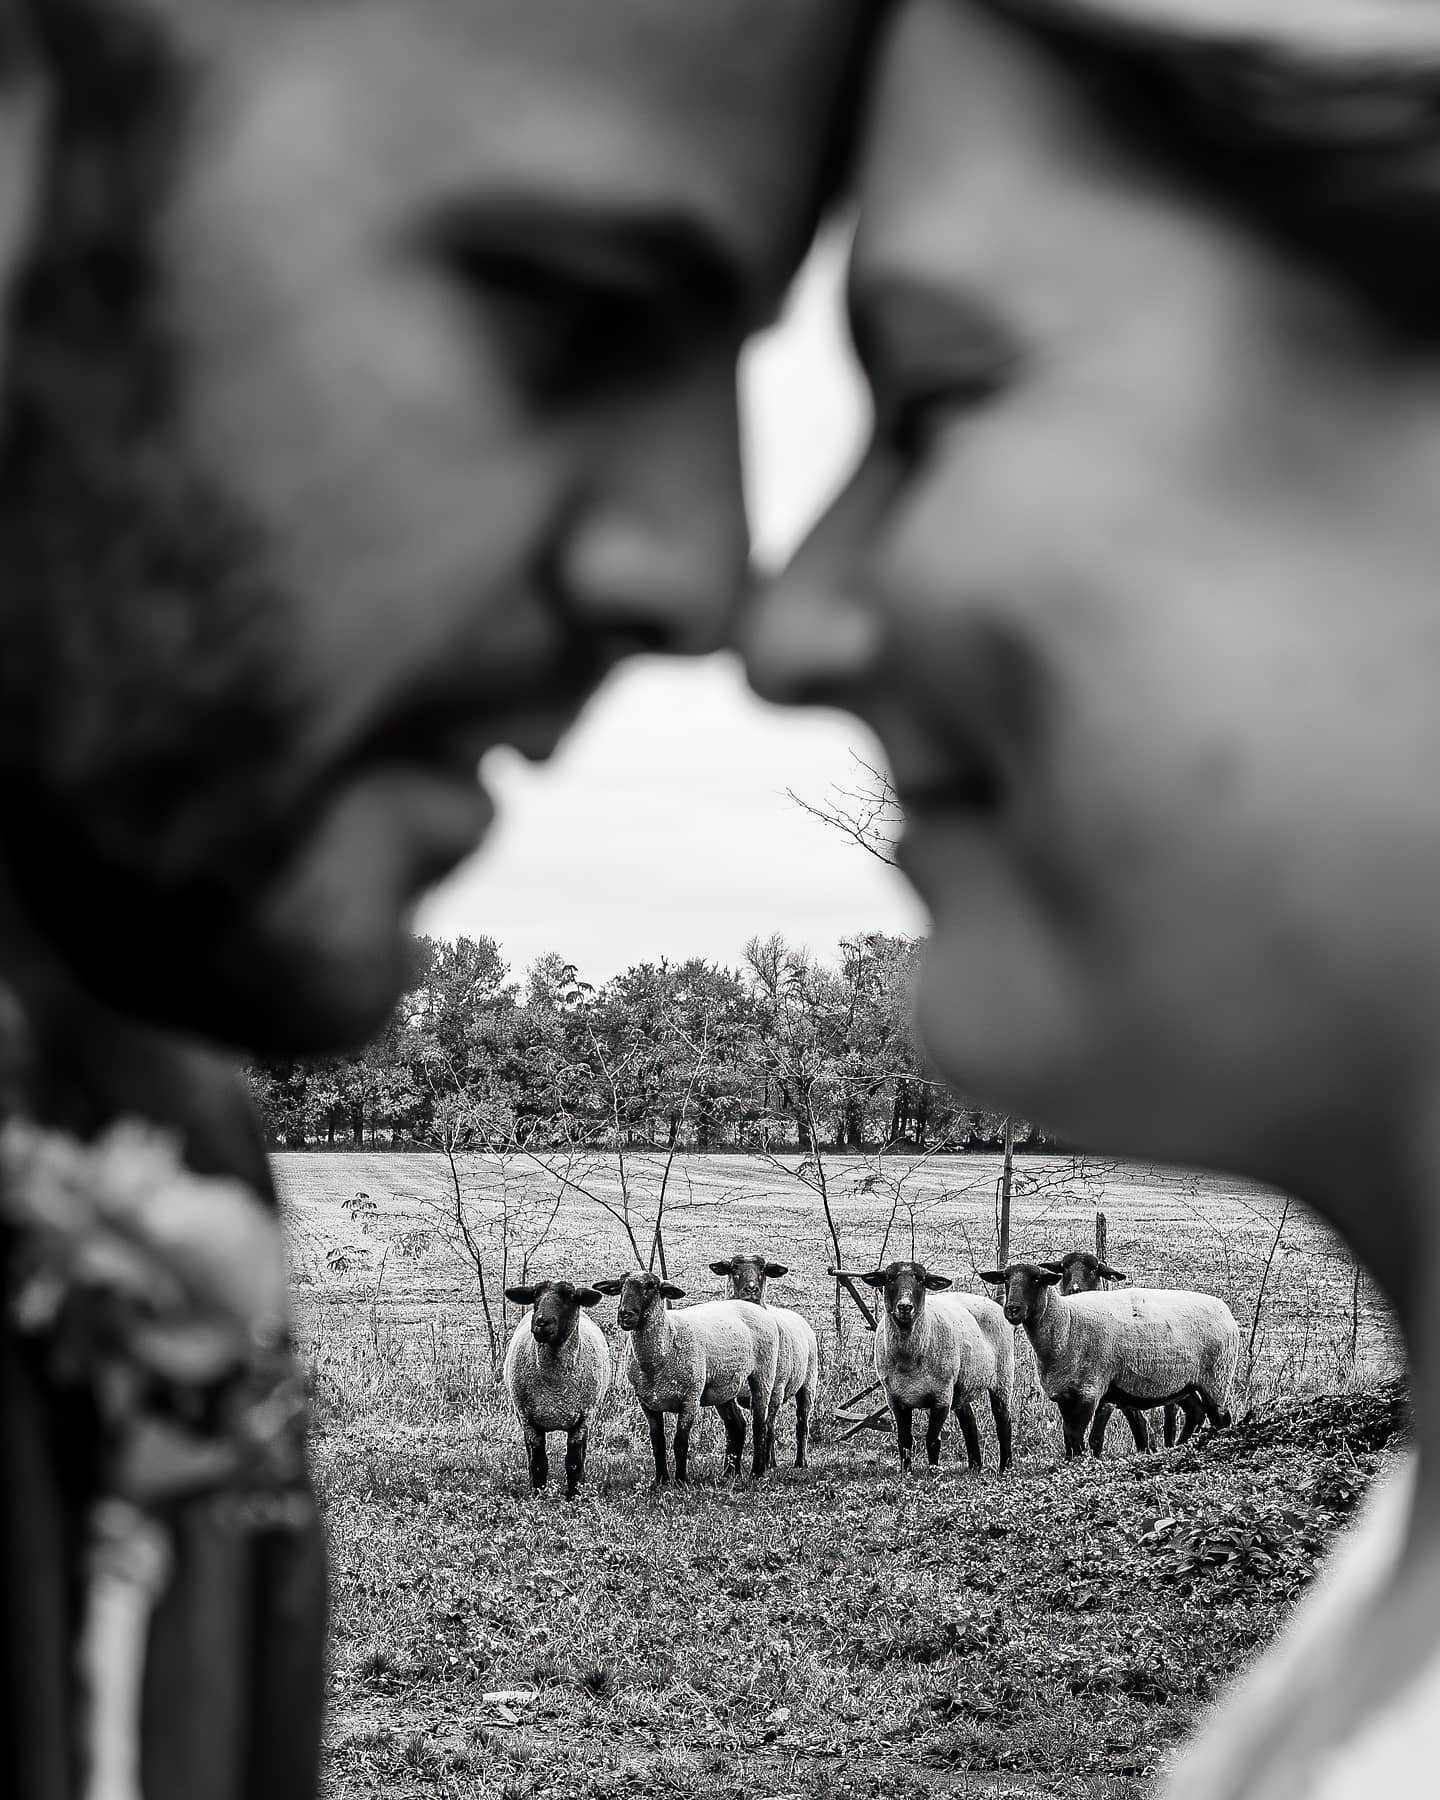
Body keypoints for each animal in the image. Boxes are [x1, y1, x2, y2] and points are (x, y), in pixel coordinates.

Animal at [504, 1288, 612, 1497]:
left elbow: (574, 1462)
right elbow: (538, 1463)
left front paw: (574, 1495)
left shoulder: (583, 1418)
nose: (541, 1322)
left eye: (570, 1297)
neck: (555, 1386)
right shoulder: (528, 1418)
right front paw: (538, 1494)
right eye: (535, 1296)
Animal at [594, 1267, 781, 1476]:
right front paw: (661, 1479)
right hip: (723, 1386)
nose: (625, 1315)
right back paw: (730, 1473)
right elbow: (657, 1443)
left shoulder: (690, 1398)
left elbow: (680, 1443)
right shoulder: (647, 1402)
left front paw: (681, 1479)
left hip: (763, 1374)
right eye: (620, 1286)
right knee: (737, 1425)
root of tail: (752, 1305)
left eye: (651, 1286)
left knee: (760, 1426)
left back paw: (757, 1472)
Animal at [705, 1260, 817, 1468]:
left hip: (808, 1384)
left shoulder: (776, 1388)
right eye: (733, 1268)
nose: (751, 1289)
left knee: (801, 1423)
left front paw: (766, 1463)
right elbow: (733, 1427)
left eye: (763, 1269)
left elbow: (767, 1426)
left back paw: (799, 1461)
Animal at [856, 1260, 1015, 1468]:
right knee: (969, 1422)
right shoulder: (895, 1400)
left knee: (1003, 1421)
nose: (905, 1307)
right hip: (961, 1386)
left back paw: (1005, 1467)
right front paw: (906, 1471)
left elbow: (932, 1440)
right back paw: (975, 1466)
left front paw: (932, 1470)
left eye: (921, 1280)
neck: (909, 1360)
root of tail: (991, 1302)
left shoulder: (941, 1397)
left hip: (1003, 1376)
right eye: (889, 1278)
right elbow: (904, 1441)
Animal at [979, 1267, 1238, 1461]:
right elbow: (1068, 1435)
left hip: (1217, 1377)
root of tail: (1225, 1309)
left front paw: (1078, 1465)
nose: (1012, 1309)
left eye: (1036, 1279)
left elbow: (1076, 1435)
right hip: (1185, 1383)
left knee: (1221, 1419)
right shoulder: (1064, 1393)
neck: (1066, 1323)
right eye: (1006, 1279)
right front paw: (1068, 1463)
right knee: (1197, 1412)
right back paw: (1181, 1447)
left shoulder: (1090, 1391)